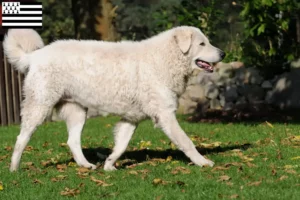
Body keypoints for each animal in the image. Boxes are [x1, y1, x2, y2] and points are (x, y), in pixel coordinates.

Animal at [3, 25, 225, 171]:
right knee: (21, 138)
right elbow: (186, 142)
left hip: (77, 112)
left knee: (72, 141)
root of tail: (35, 56)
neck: (164, 58)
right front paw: (203, 162)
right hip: (39, 106)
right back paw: (14, 168)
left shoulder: (132, 118)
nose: (223, 53)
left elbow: (121, 145)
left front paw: (109, 165)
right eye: (202, 43)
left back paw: (86, 165)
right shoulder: (165, 114)